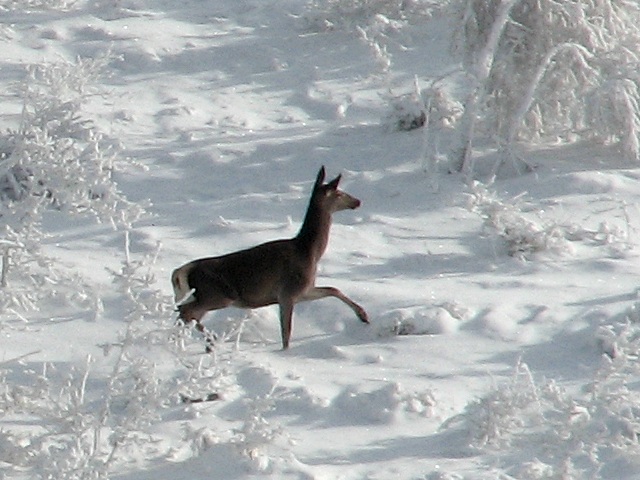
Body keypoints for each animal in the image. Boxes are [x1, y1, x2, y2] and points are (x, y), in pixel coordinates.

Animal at [171, 167, 370, 350]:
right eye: (340, 193)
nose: (358, 201)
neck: (310, 252)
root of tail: (179, 273)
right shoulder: (289, 292)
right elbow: (286, 331)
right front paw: (285, 352)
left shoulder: (303, 291)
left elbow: (333, 289)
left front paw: (363, 316)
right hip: (218, 295)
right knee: (186, 312)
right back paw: (204, 342)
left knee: (184, 314)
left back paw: (202, 344)